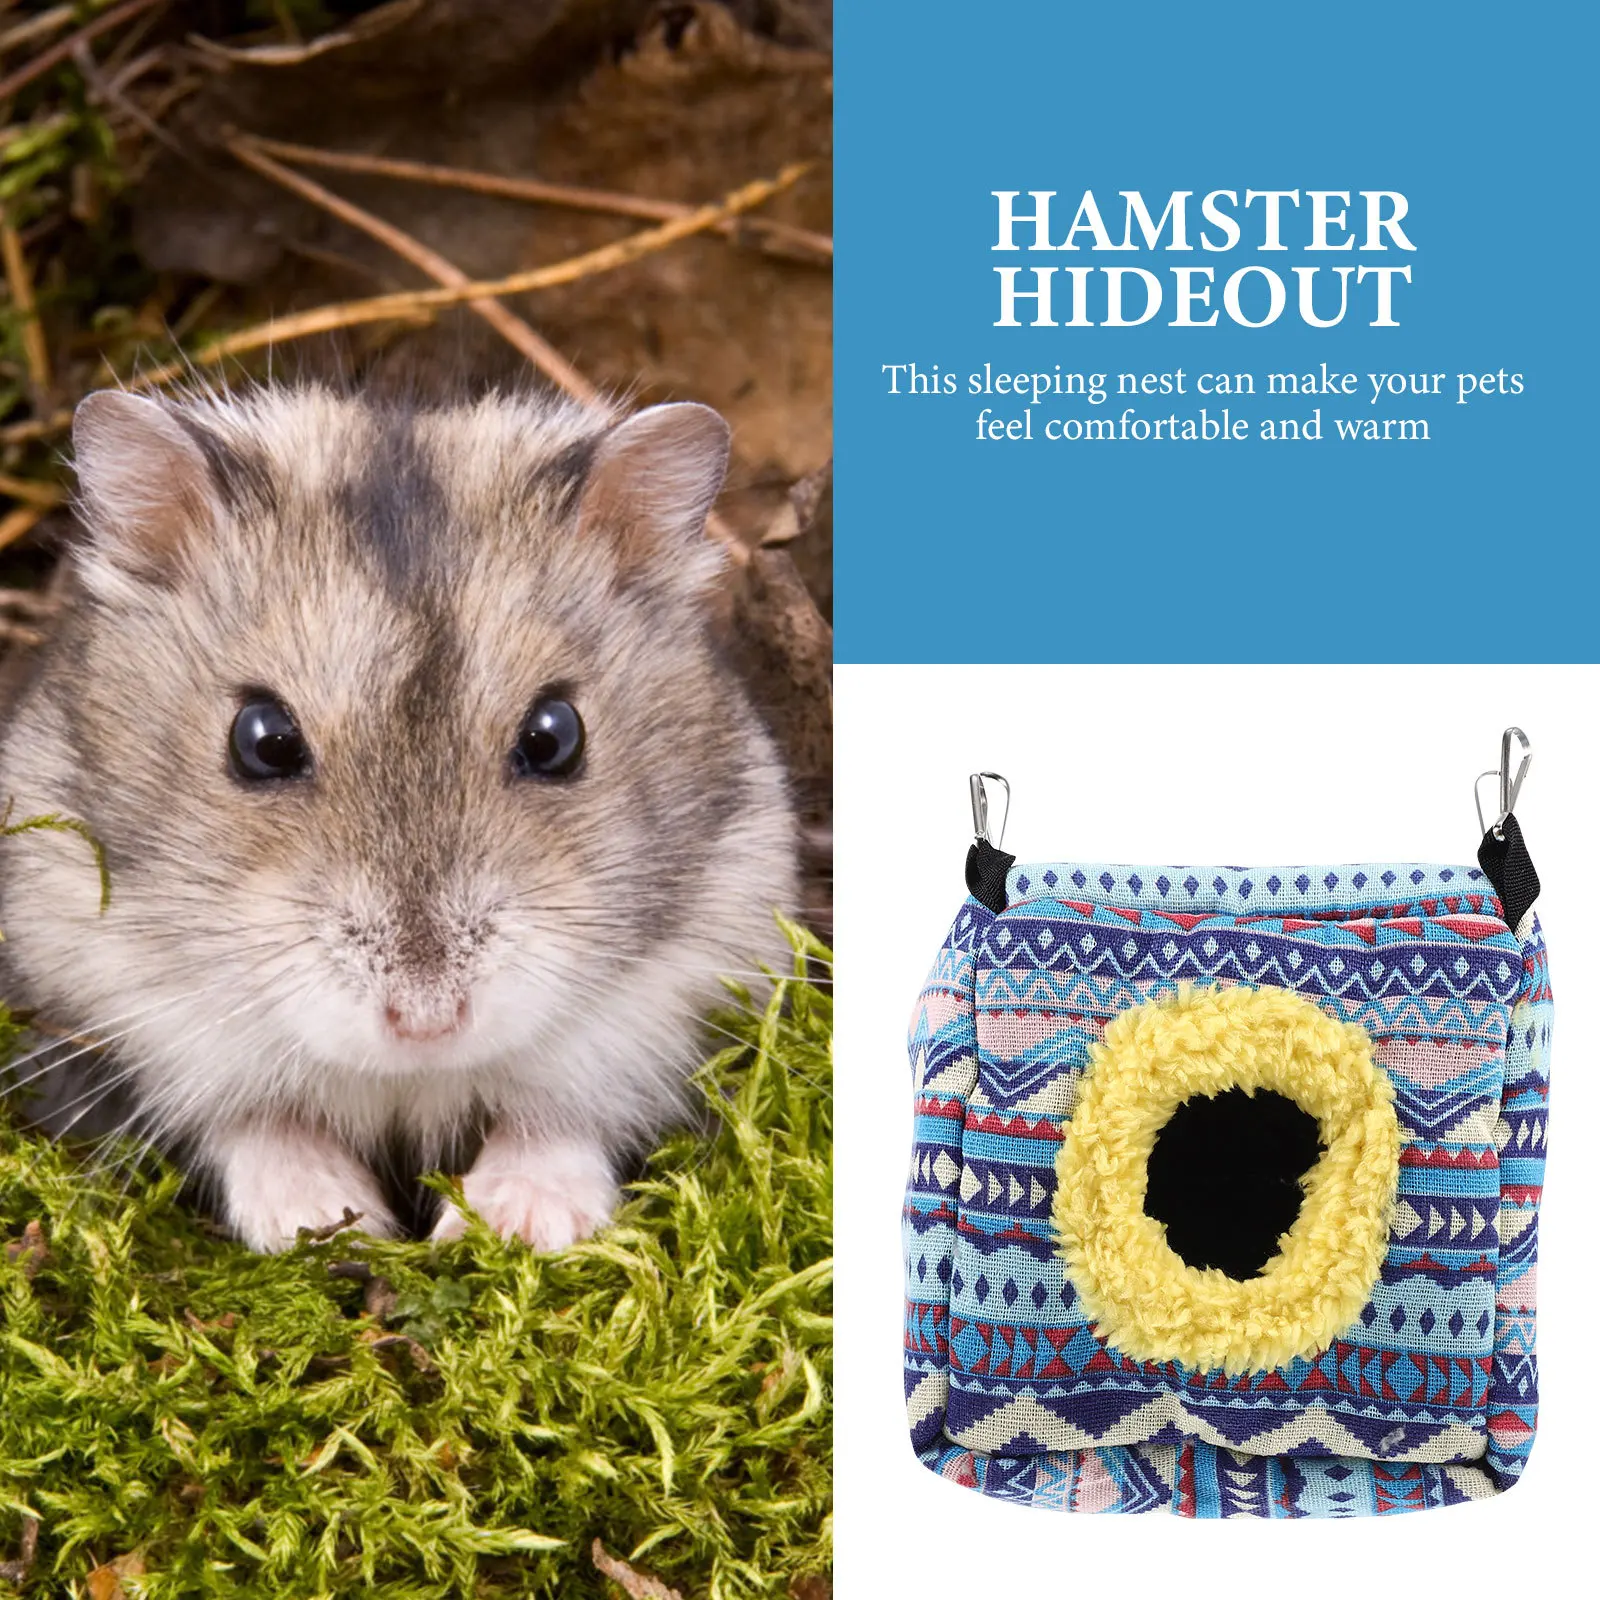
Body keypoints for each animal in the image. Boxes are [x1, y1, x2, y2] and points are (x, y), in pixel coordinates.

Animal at [0, 384, 796, 1253]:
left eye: (555, 736)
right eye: (262, 740)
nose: (426, 1023)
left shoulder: (677, 988)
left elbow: (558, 1118)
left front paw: (513, 1226)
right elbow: (256, 1121)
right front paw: (331, 1224)